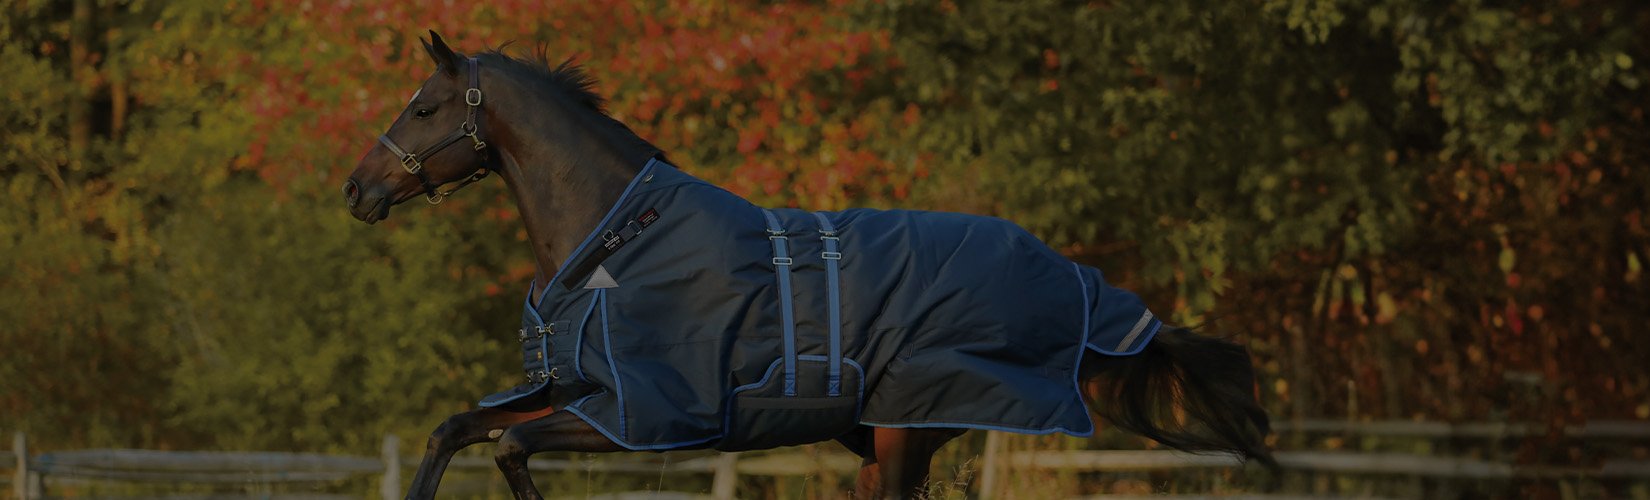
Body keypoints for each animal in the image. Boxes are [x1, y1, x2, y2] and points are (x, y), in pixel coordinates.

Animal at [342, 31, 1275, 499]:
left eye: (424, 107)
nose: (356, 188)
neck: (616, 238)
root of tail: (1074, 281)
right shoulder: (576, 388)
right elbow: (457, 430)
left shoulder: (646, 415)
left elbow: (508, 449)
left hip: (905, 434)